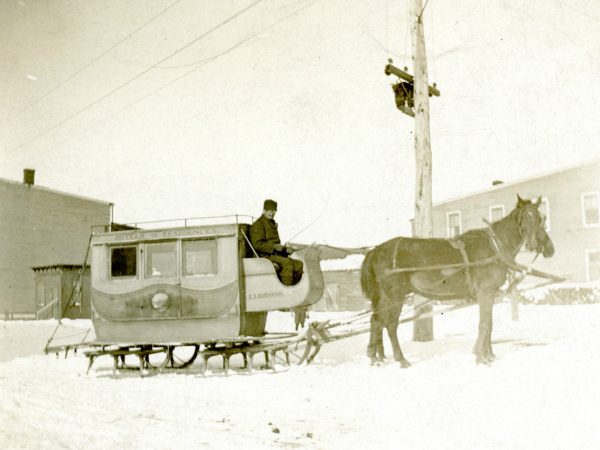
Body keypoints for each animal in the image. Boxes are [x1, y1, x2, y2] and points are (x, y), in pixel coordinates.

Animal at [358, 197, 556, 366]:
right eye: (523, 219)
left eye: (541, 218)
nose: (543, 246)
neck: (495, 247)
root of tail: (375, 250)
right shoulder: (485, 292)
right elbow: (485, 324)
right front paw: (481, 357)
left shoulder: (490, 294)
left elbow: (489, 323)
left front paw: (489, 355)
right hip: (396, 295)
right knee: (390, 325)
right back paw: (401, 359)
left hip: (384, 297)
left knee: (375, 321)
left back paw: (375, 356)